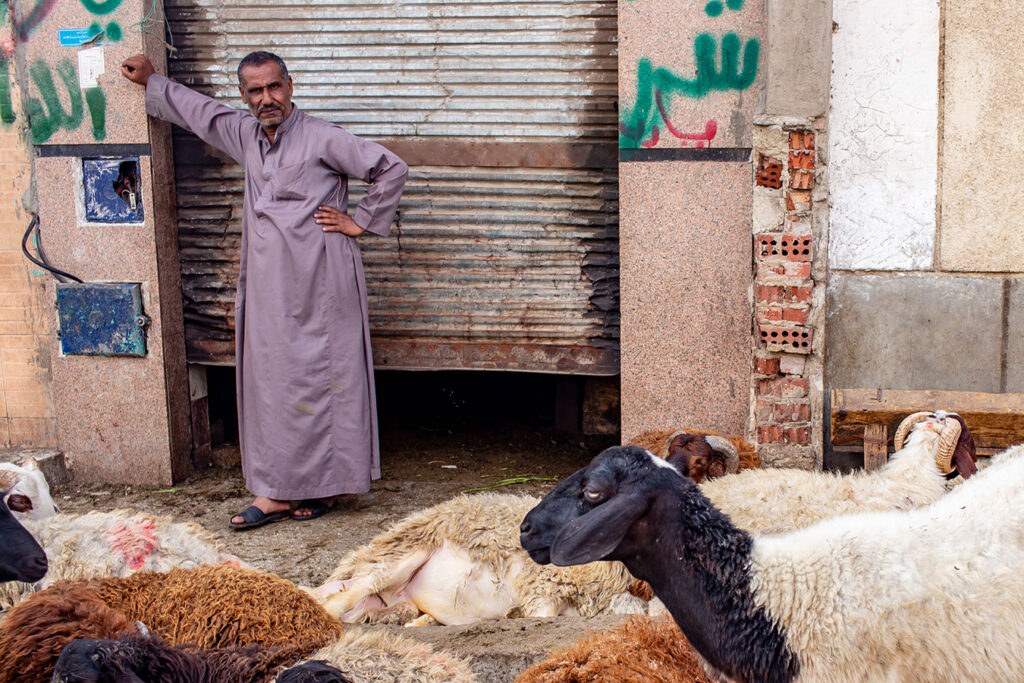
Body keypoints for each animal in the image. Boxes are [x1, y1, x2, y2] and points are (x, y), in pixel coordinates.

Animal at [313, 491, 635, 626]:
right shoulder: (542, 584)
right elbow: (540, 613)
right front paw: (514, 615)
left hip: (393, 592)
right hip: (405, 551)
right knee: (345, 596)